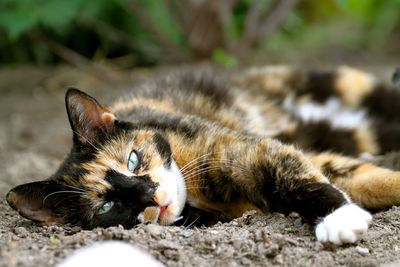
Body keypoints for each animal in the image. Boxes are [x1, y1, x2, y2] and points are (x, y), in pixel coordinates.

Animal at [5, 66, 400, 246]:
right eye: (107, 206)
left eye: (133, 160)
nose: (150, 196)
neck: (195, 194)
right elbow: (353, 176)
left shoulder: (250, 150)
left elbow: (306, 179)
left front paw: (339, 217)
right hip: (350, 132)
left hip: (340, 84)